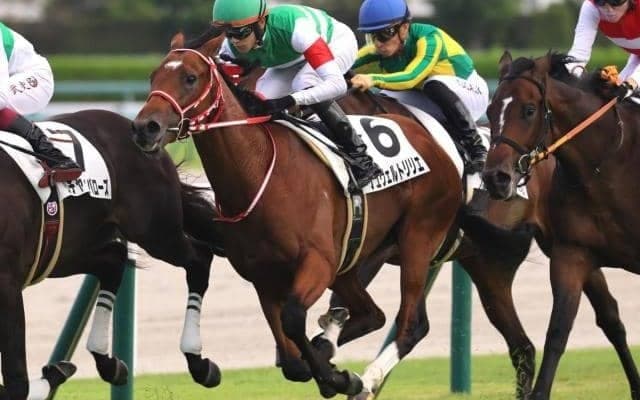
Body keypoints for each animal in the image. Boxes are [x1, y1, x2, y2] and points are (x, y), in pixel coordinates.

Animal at [0, 109, 221, 400]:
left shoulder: (8, 284)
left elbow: (16, 383)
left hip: (157, 232)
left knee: (199, 258)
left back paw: (198, 362)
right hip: (63, 251)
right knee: (113, 260)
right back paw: (104, 363)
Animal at [132, 30, 467, 397]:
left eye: (190, 78)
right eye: (153, 77)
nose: (145, 128)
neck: (258, 173)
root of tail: (432, 141)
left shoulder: (316, 263)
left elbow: (293, 320)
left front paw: (338, 378)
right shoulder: (264, 276)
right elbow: (291, 361)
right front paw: (326, 368)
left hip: (418, 238)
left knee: (410, 324)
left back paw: (366, 379)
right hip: (353, 258)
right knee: (372, 314)